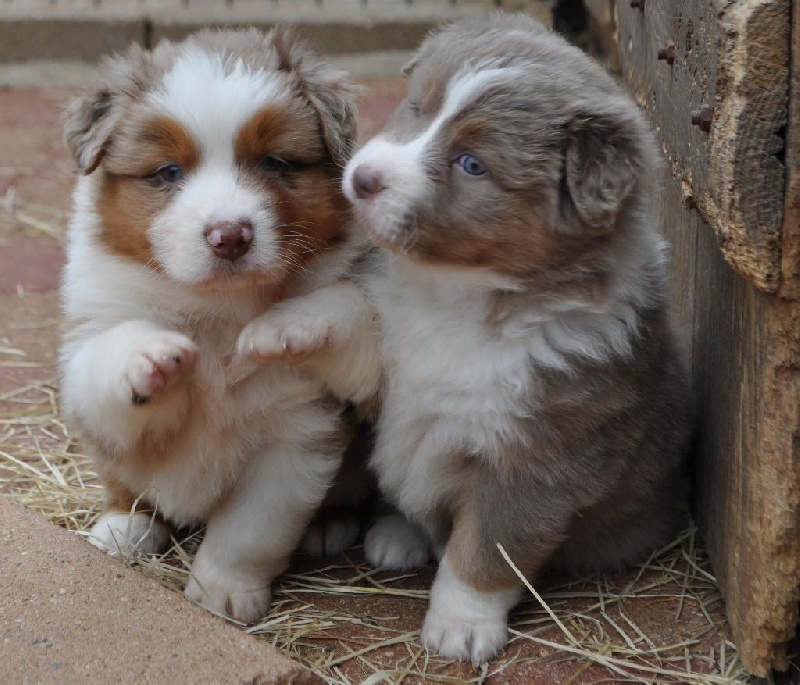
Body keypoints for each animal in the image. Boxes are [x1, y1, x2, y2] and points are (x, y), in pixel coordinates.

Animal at [58, 29, 366, 624]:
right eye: (167, 173)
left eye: (276, 162)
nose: (230, 235)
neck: (216, 313)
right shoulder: (88, 348)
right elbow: (109, 365)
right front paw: (150, 357)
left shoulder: (295, 435)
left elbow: (250, 531)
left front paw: (224, 592)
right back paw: (123, 526)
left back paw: (330, 525)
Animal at [262, 12, 692, 664]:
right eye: (417, 106)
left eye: (472, 165)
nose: (362, 180)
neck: (454, 300)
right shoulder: (386, 361)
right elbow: (345, 312)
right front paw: (278, 327)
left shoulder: (537, 458)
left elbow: (486, 551)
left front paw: (461, 627)